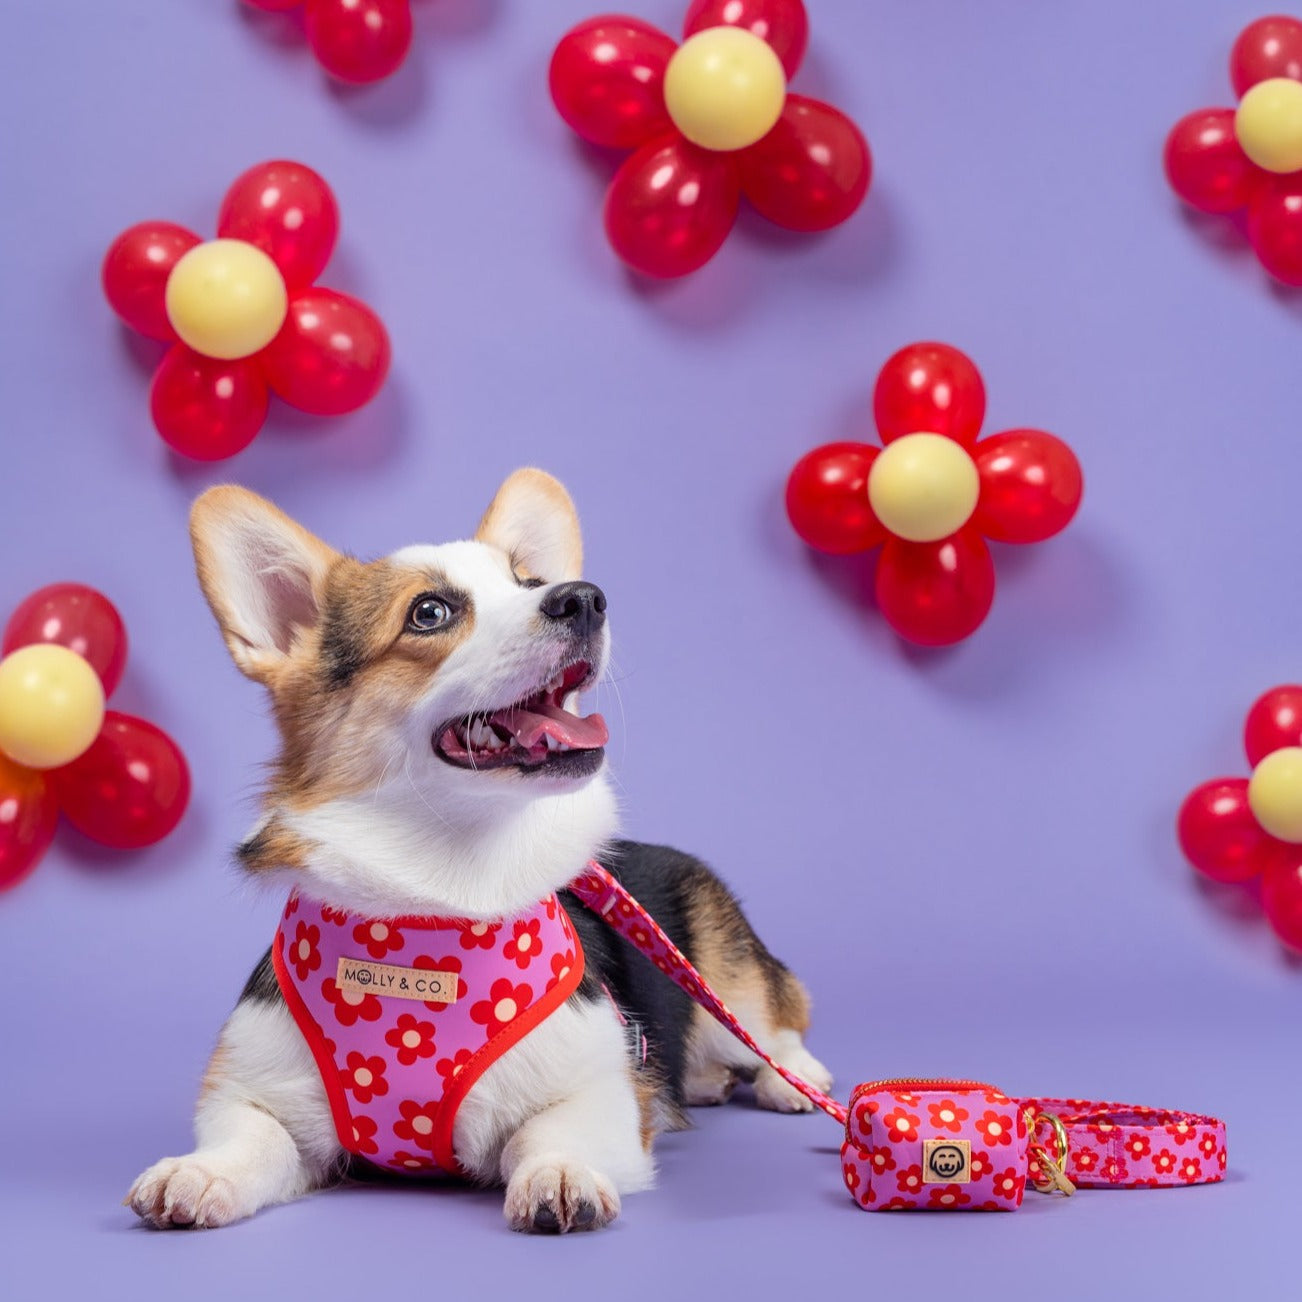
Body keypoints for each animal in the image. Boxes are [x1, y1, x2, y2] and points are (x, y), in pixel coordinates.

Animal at [127, 468, 832, 1233]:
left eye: (532, 582)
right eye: (429, 612)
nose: (585, 597)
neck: (446, 883)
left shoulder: (605, 1094)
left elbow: (548, 1130)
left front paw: (558, 1175)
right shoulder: (252, 1090)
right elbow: (248, 1137)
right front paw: (199, 1174)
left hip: (726, 974)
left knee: (774, 1024)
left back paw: (793, 1082)